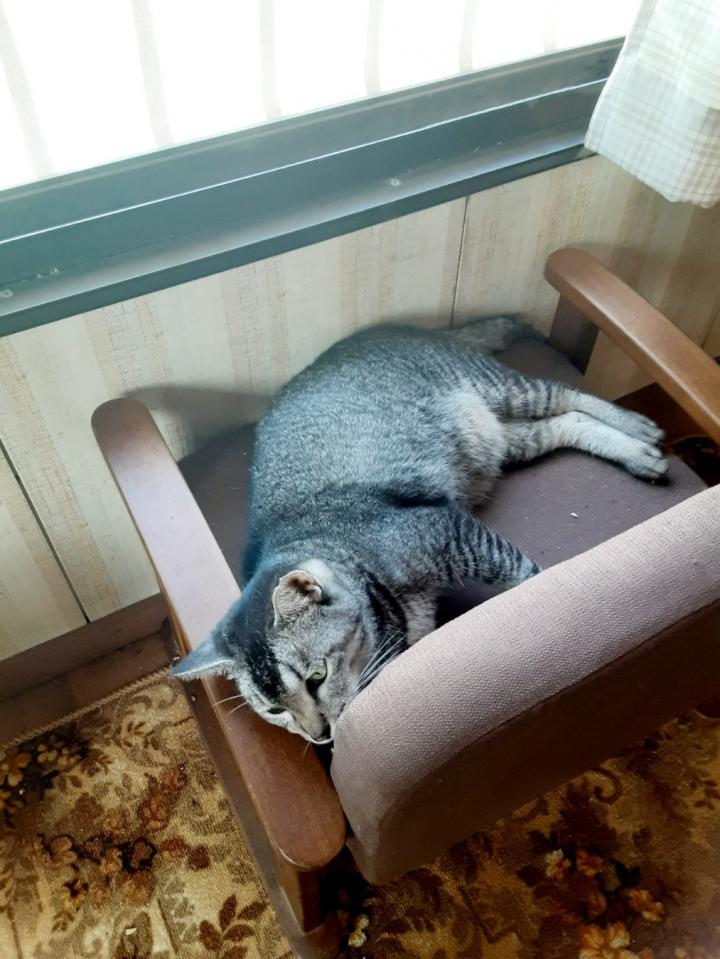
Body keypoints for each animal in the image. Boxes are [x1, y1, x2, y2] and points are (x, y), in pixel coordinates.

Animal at [172, 317, 666, 743]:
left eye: (317, 677)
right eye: (275, 710)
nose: (320, 736)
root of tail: (396, 329)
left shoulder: (449, 530)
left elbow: (524, 575)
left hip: (500, 388)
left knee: (567, 394)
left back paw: (639, 429)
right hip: (500, 438)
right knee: (564, 423)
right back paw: (636, 452)